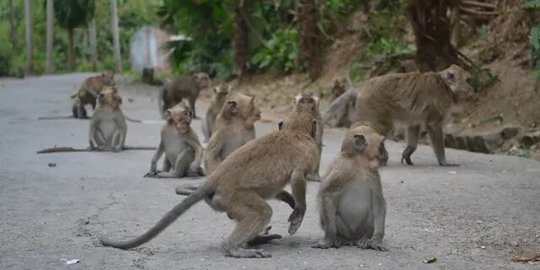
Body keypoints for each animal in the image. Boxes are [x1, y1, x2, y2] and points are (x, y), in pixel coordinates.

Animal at [100, 106, 320, 258]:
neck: (295, 131)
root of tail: (213, 179)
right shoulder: (309, 152)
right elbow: (297, 176)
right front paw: (299, 212)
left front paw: (288, 198)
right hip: (233, 197)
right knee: (262, 212)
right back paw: (234, 248)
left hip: (223, 202)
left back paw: (253, 241)